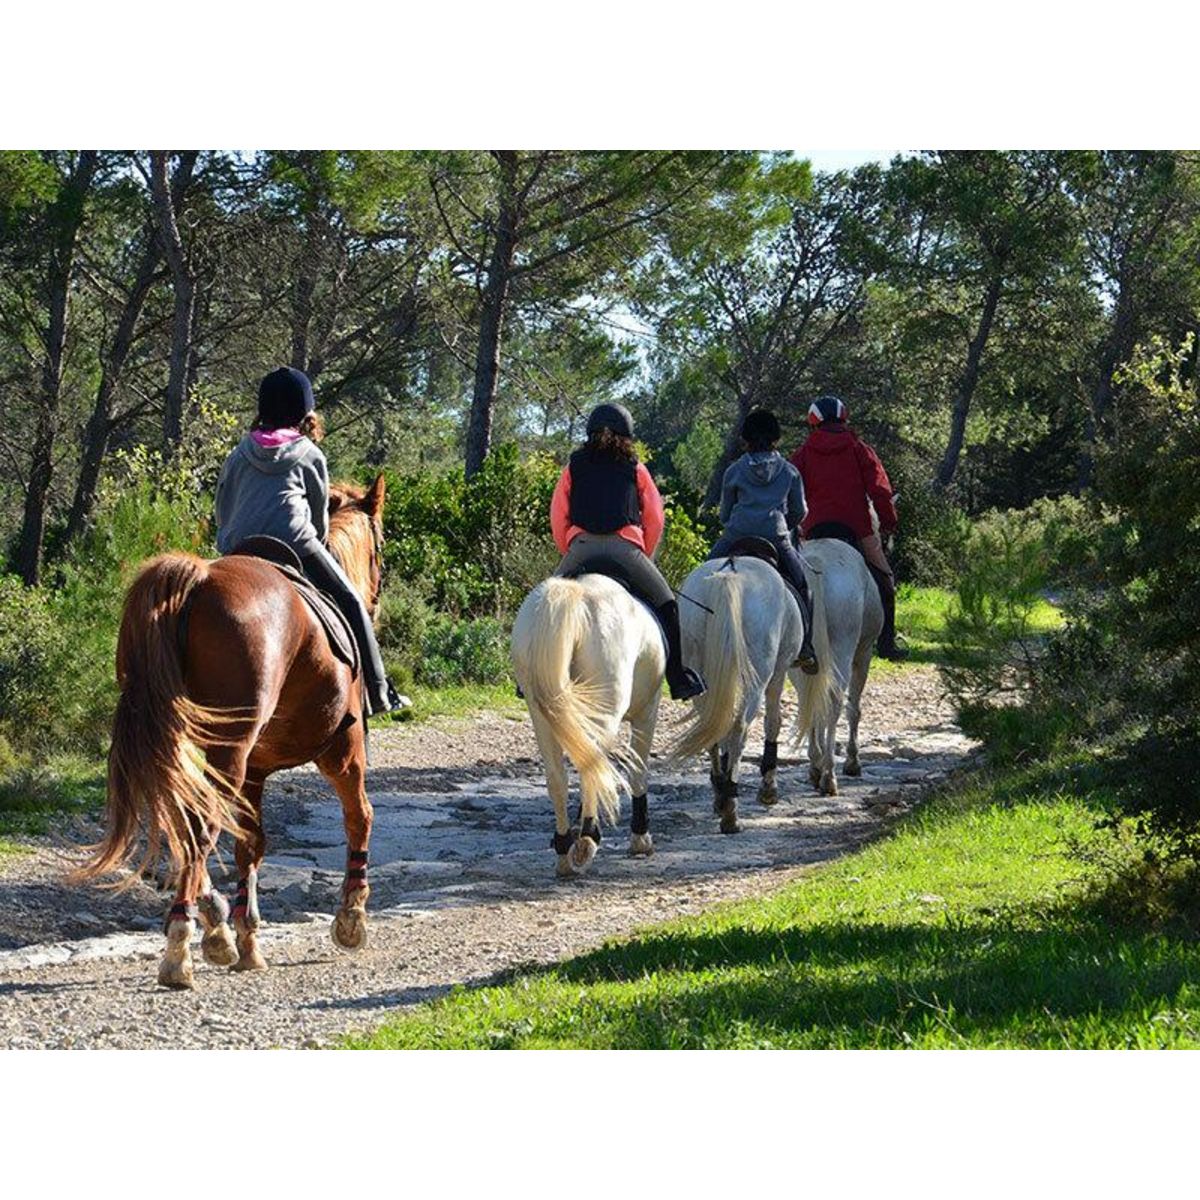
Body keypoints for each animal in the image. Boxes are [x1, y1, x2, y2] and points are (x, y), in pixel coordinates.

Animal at [73, 476, 388, 989]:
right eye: (379, 547)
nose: (375, 602)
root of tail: (198, 581)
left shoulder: (256, 769)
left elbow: (250, 844)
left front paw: (247, 936)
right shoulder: (344, 749)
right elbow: (359, 816)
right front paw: (351, 918)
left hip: (184, 741)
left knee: (182, 821)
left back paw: (210, 924)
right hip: (233, 750)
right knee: (199, 827)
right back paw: (180, 946)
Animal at [511, 573, 665, 876]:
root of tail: (574, 595)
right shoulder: (648, 711)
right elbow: (638, 771)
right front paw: (640, 839)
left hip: (542, 713)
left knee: (558, 777)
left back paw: (564, 852)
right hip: (603, 710)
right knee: (591, 765)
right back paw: (587, 841)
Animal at [669, 553, 835, 832]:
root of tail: (729, 572)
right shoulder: (778, 671)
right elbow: (773, 723)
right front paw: (768, 788)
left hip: (702, 674)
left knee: (712, 726)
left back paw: (720, 794)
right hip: (758, 676)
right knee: (739, 730)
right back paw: (731, 810)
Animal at [794, 536, 884, 795]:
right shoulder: (864, 654)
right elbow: (853, 709)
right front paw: (853, 762)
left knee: (808, 701)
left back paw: (816, 767)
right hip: (844, 650)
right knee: (835, 701)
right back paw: (829, 776)